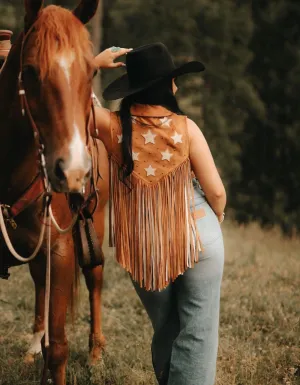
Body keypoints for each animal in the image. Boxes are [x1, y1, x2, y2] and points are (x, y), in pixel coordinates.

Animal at [0, 1, 108, 382]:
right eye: (30, 71)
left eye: (91, 71)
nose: (73, 172)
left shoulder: (61, 251)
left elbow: (59, 348)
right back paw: (34, 344)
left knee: (94, 283)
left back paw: (95, 354)